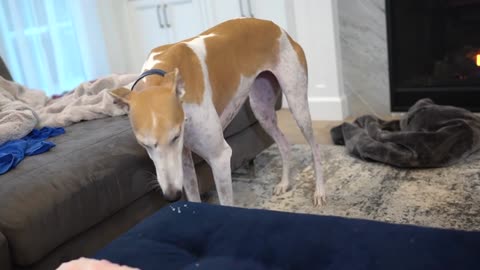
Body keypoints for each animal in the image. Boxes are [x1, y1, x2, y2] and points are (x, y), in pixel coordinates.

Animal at [109, 17, 326, 206]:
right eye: (143, 144)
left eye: (175, 136)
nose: (172, 195)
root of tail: (278, 28)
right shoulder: (184, 161)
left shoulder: (219, 158)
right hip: (261, 110)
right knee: (284, 144)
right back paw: (285, 183)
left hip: (297, 105)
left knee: (315, 147)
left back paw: (320, 191)